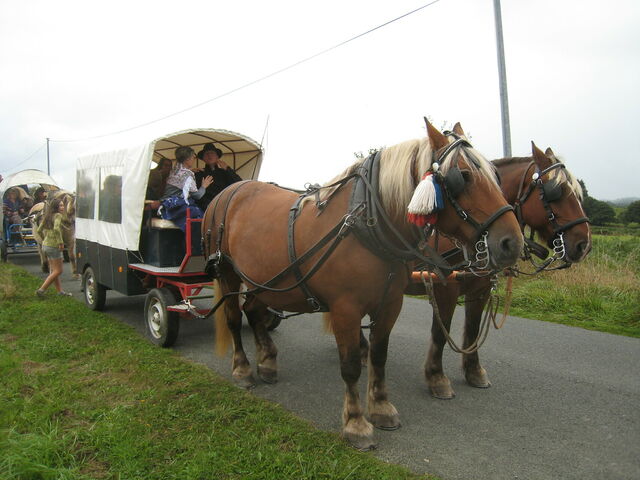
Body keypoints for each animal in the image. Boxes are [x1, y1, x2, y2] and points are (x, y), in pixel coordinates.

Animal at [202, 119, 524, 450]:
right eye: (463, 177)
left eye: (496, 175)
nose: (512, 243)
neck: (367, 224)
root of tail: (231, 189)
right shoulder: (346, 309)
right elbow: (351, 366)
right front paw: (356, 423)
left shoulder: (390, 304)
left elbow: (380, 356)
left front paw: (381, 408)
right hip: (227, 271)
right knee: (233, 317)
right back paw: (242, 369)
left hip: (264, 282)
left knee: (254, 311)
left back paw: (267, 361)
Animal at [417, 131, 591, 399]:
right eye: (558, 192)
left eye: (577, 194)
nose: (584, 244)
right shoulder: (445, 287)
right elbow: (440, 330)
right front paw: (436, 377)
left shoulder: (480, 288)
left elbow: (473, 328)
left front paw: (474, 371)